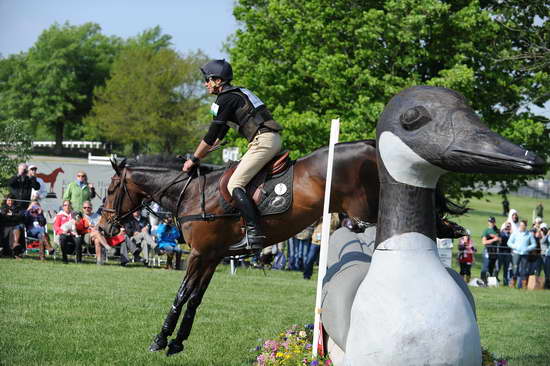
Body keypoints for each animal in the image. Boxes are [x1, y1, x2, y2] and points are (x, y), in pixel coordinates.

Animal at [99, 139, 466, 354]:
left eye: (111, 189)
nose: (103, 227)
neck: (190, 192)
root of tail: (368, 144)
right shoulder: (212, 256)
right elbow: (194, 299)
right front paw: (178, 341)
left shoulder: (200, 255)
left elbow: (181, 295)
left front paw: (160, 339)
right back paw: (451, 227)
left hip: (366, 207)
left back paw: (448, 227)